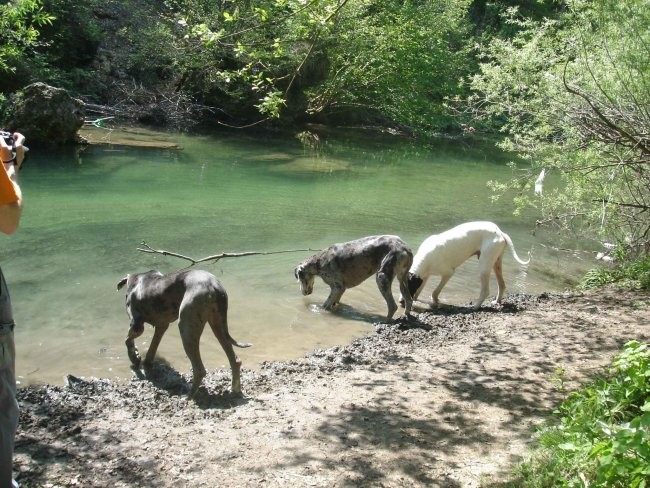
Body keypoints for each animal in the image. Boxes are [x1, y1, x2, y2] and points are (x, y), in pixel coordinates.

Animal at [400, 221, 532, 308]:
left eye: (408, 287)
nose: (401, 302)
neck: (424, 258)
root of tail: (500, 232)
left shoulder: (448, 273)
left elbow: (435, 292)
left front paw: (435, 301)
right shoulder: (425, 276)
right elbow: (418, 292)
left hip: (484, 266)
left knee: (485, 291)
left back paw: (475, 307)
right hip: (496, 263)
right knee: (502, 285)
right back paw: (497, 301)